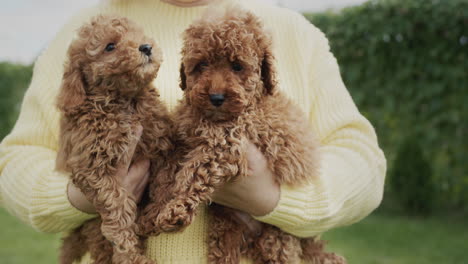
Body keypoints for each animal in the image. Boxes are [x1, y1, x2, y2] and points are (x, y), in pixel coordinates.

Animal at [55, 14, 172, 264]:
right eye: (110, 46)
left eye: (138, 34)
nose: (146, 47)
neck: (123, 100)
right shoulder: (93, 167)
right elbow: (117, 205)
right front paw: (130, 254)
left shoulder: (161, 142)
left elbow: (166, 179)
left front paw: (159, 210)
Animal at [137, 5, 346, 264]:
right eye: (202, 65)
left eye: (237, 66)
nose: (216, 97)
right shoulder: (182, 143)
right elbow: (167, 176)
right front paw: (154, 212)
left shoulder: (225, 145)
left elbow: (191, 176)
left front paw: (174, 211)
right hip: (226, 227)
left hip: (278, 238)